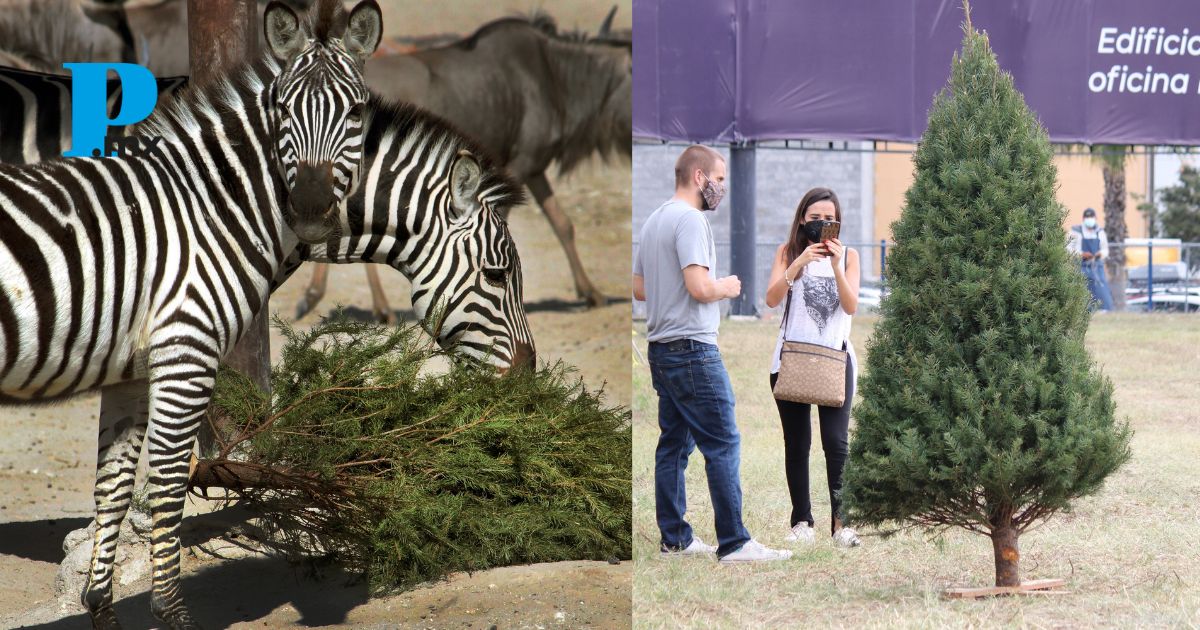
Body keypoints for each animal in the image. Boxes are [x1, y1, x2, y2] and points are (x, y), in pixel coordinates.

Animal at [0, 2, 384, 624]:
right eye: (282, 110)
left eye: (353, 112)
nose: (307, 206)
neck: (208, 208)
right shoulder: (187, 351)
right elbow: (166, 482)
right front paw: (171, 613)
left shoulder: (130, 369)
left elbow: (113, 485)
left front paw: (100, 605)